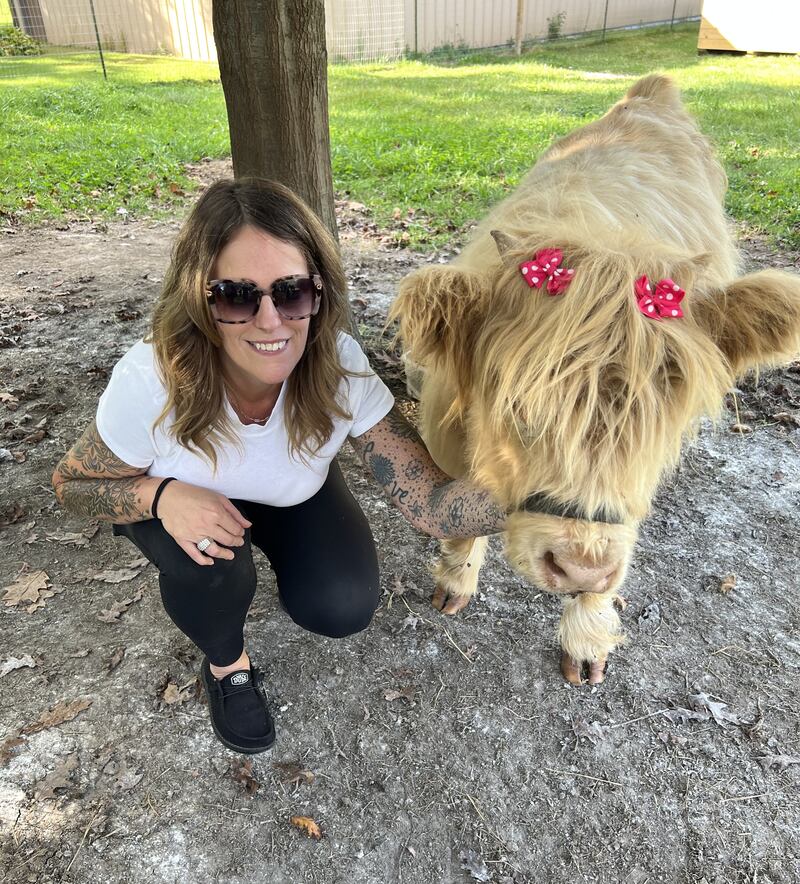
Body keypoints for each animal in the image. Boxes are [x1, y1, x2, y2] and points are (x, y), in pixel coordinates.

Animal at [389, 74, 800, 685]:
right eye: (517, 407)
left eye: (658, 422)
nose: (581, 567)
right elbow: (459, 518)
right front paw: (455, 579)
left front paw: (586, 638)